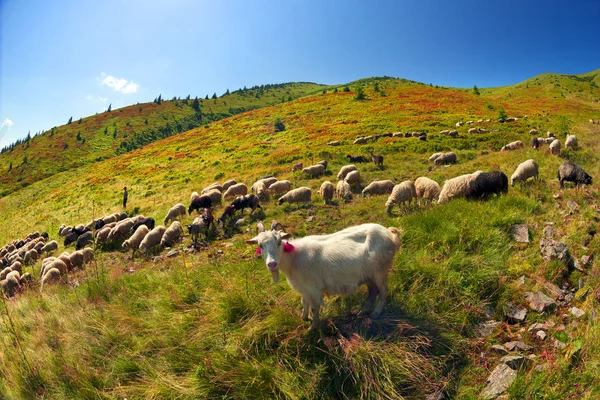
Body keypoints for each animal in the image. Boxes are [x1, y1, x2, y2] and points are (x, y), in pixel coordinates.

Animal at [246, 223, 400, 330]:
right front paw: (303, 317)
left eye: (278, 242)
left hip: (380, 271)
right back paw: (363, 311)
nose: (272, 264)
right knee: (373, 291)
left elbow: (315, 308)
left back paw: (376, 313)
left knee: (383, 291)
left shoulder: (313, 288)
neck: (294, 258)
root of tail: (389, 234)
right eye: (260, 245)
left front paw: (313, 327)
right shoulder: (304, 288)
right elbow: (304, 303)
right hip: (368, 274)